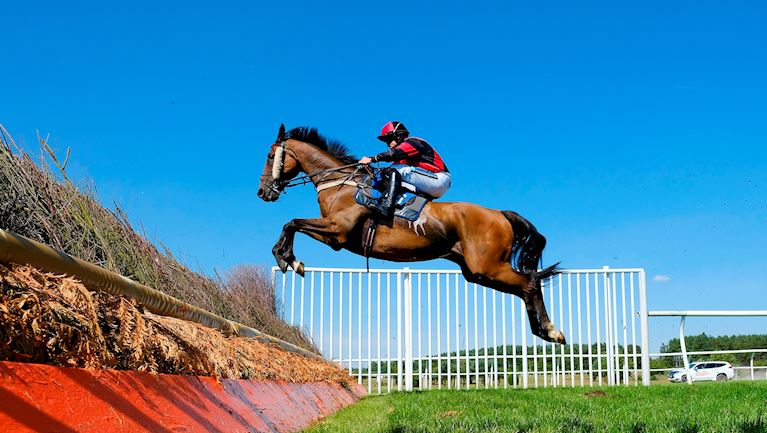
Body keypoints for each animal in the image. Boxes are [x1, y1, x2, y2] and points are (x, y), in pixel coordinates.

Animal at [258, 123, 564, 342]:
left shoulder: (338, 230)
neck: (340, 182)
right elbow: (292, 224)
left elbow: (291, 222)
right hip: (477, 272)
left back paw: (551, 330)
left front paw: (288, 258)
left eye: (271, 156)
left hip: (487, 266)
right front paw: (288, 258)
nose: (263, 192)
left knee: (529, 283)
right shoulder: (334, 237)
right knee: (524, 287)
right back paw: (543, 331)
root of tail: (499, 214)